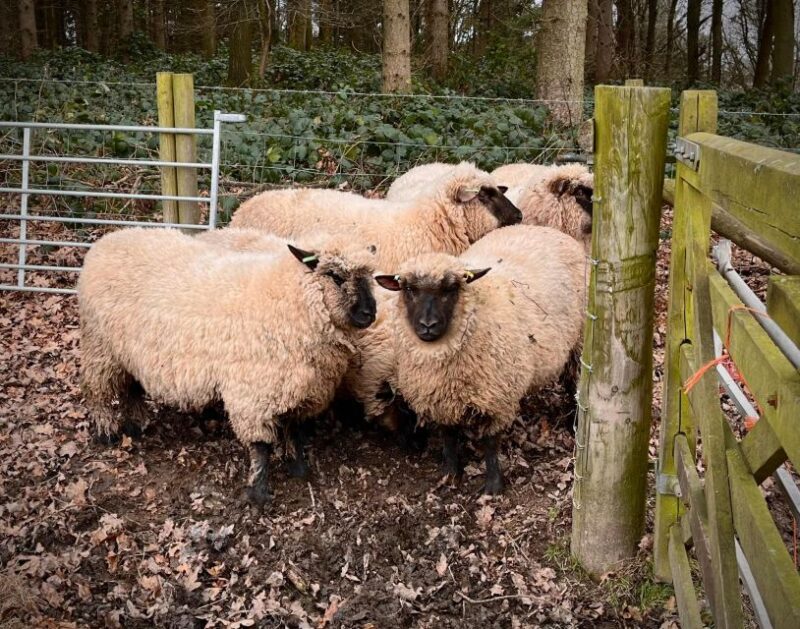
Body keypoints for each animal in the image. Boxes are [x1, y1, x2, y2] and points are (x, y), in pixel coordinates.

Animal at [78, 227, 377, 508]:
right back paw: (106, 432)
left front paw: (298, 468)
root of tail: (109, 239)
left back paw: (138, 423)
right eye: (335, 276)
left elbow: (294, 429)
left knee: (130, 387)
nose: (369, 314)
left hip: (128, 353)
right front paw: (257, 492)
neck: (287, 298)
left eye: (371, 277)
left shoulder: (299, 388)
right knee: (96, 390)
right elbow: (261, 446)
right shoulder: (253, 391)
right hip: (100, 347)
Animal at [374, 224, 586, 494]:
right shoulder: (439, 397)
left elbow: (490, 442)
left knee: (576, 384)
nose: (427, 325)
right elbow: (448, 435)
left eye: (451, 289)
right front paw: (451, 474)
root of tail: (545, 228)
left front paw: (494, 486)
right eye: (409, 289)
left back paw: (575, 423)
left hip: (579, 343)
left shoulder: (496, 397)